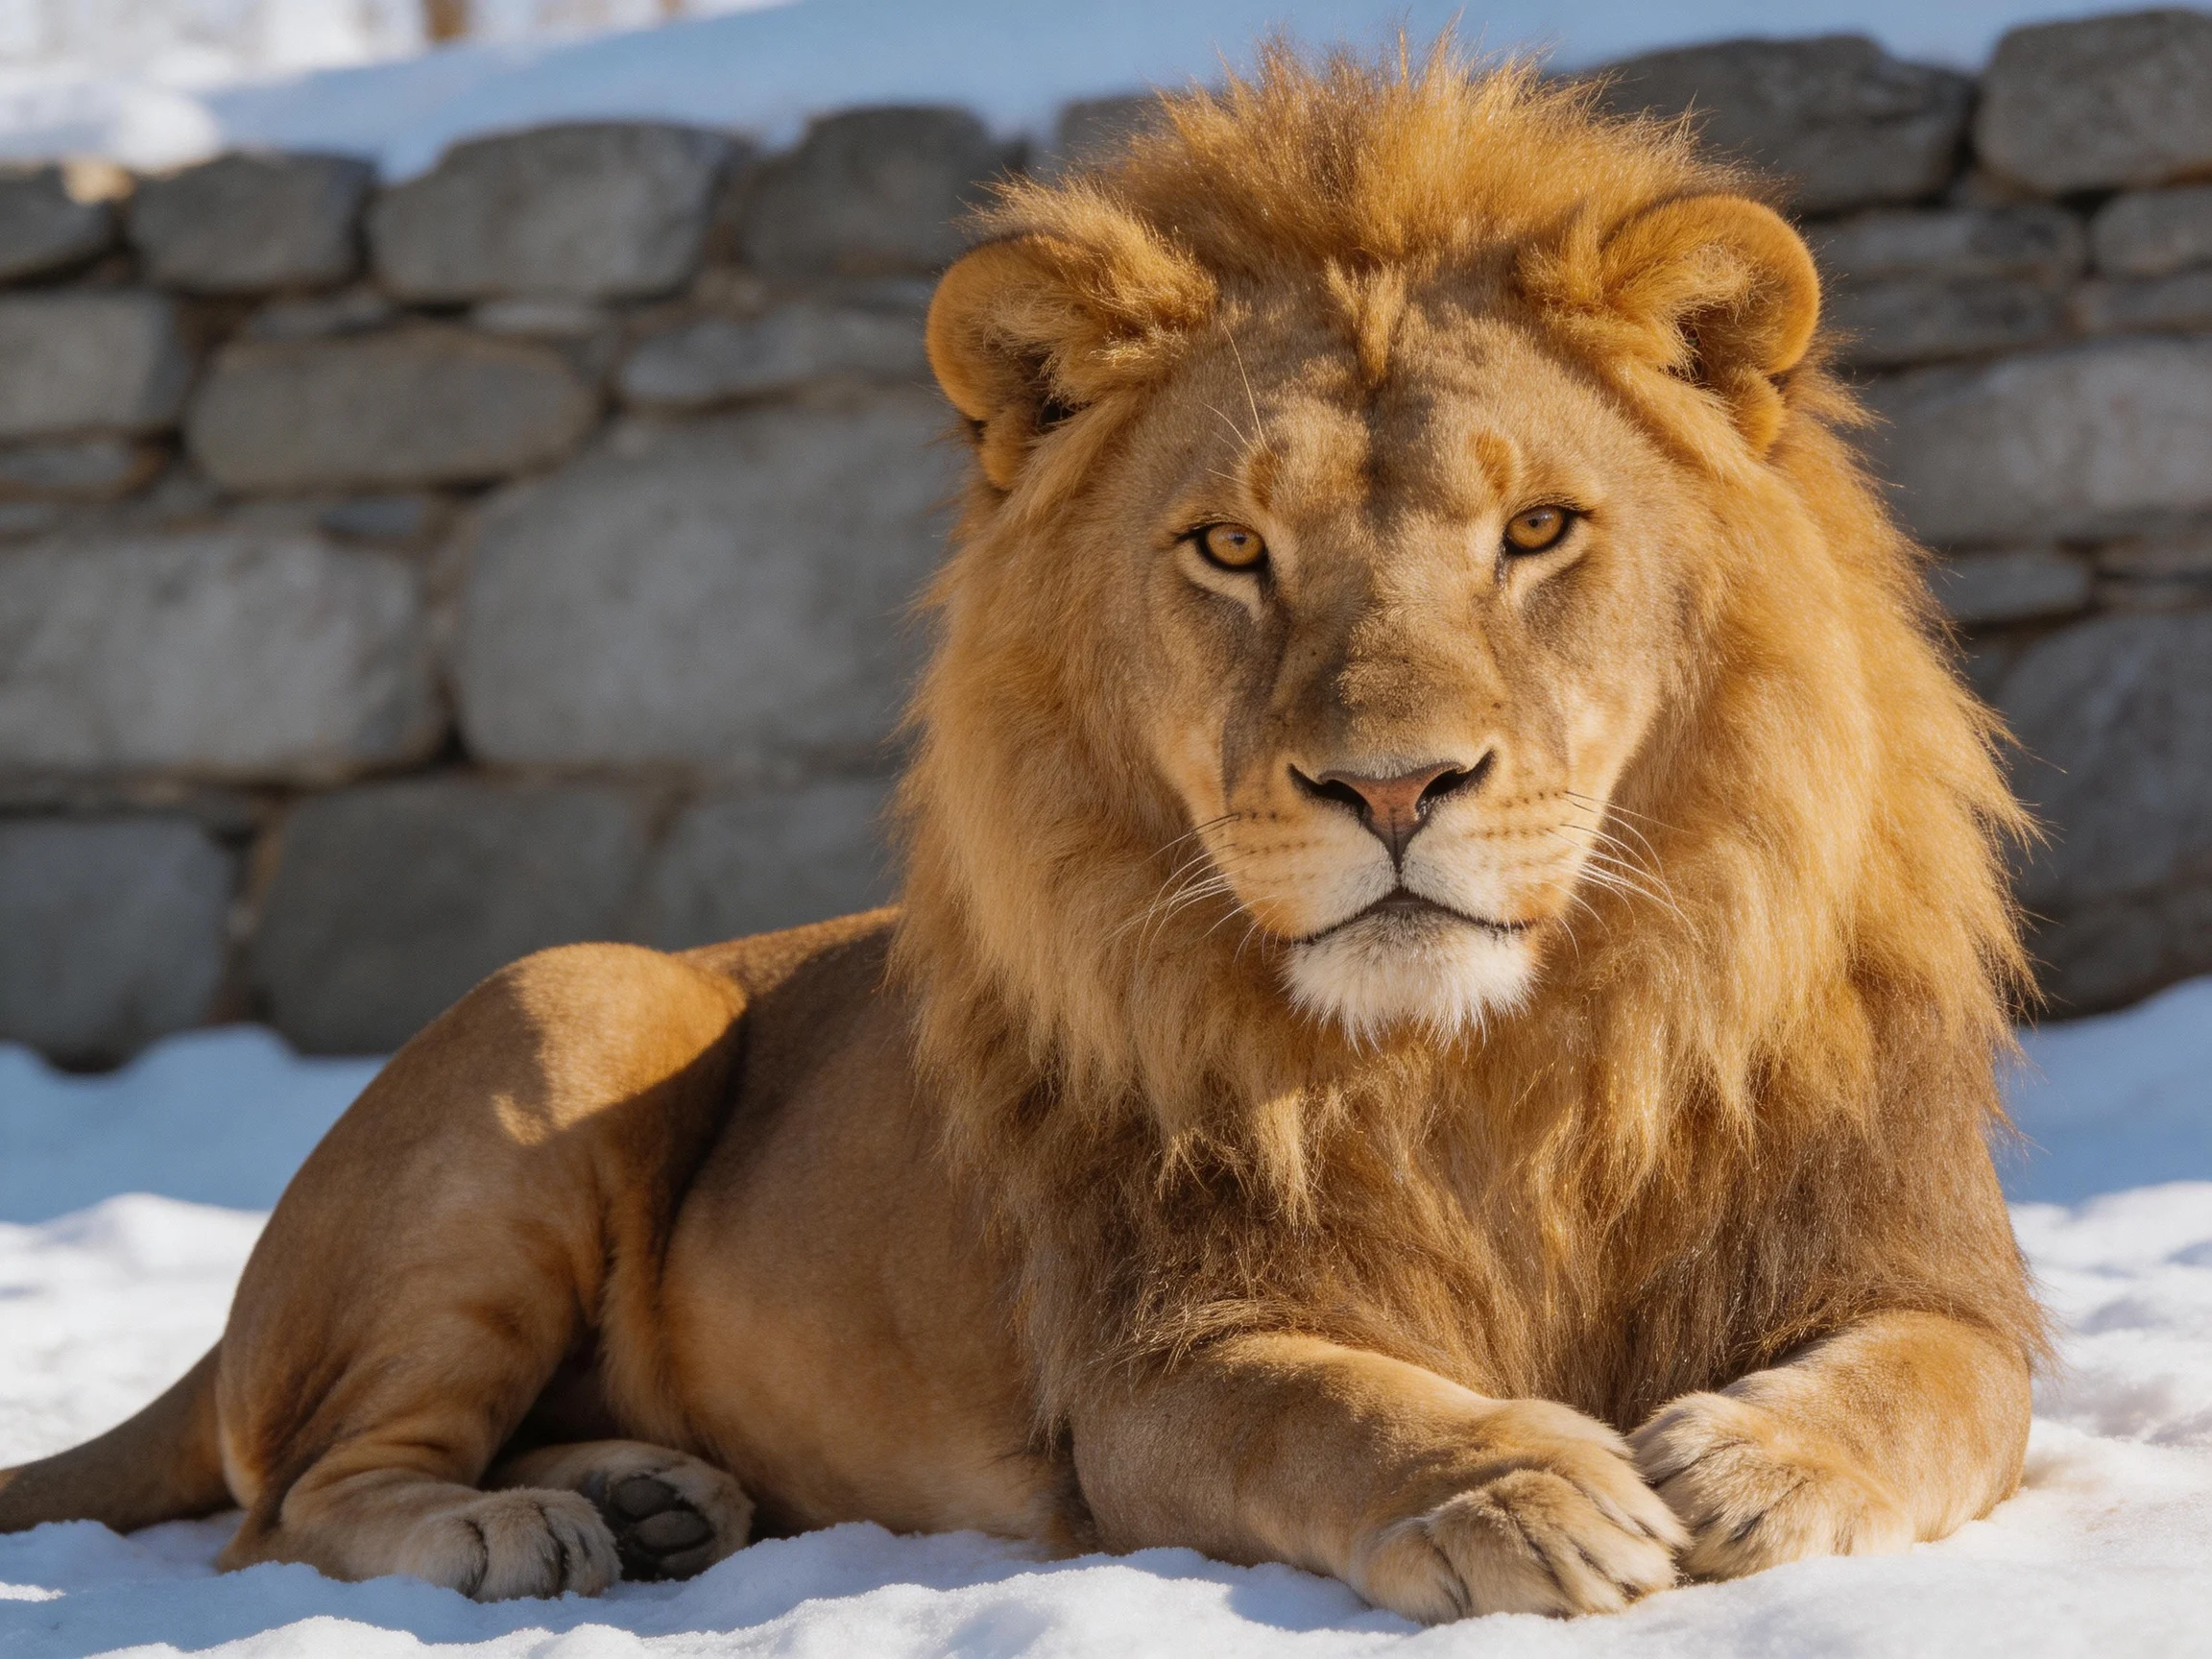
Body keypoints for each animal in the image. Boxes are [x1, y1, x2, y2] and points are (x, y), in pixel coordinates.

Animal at [0, 47, 2044, 1622]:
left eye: (1536, 530)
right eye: (1228, 547)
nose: (1389, 788)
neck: (1488, 1067)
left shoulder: (1923, 1269)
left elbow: (1936, 1384)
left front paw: (1745, 1464)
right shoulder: (1159, 1357)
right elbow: (1333, 1408)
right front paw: (1510, 1488)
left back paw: (652, 1495)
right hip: (572, 1000)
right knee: (294, 1496)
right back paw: (516, 1522)